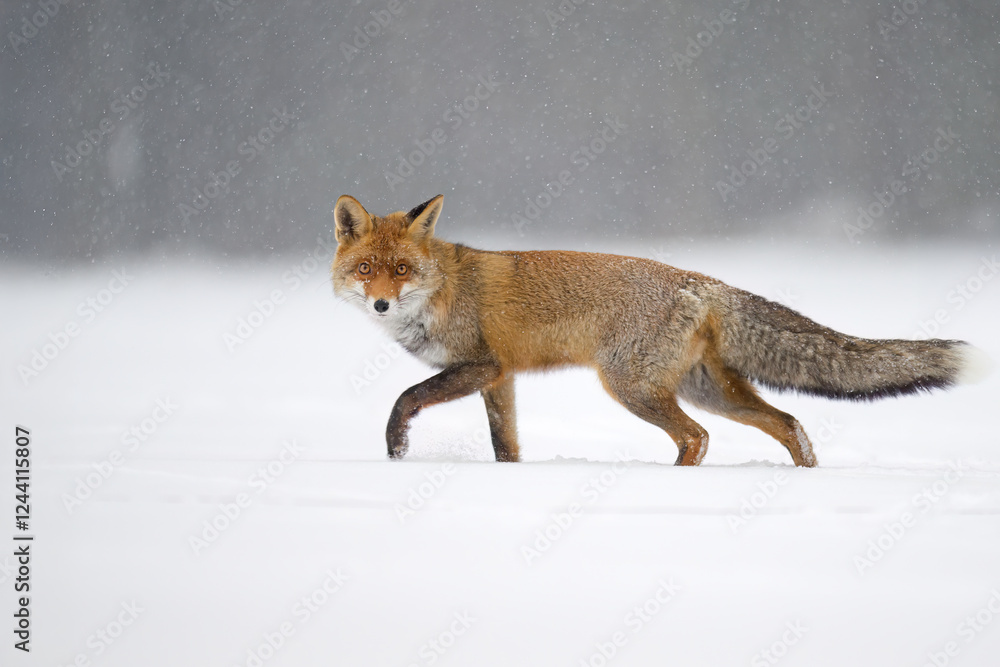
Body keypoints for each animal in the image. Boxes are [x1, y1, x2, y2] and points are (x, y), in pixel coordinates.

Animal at [331, 194, 987, 467]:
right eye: (366, 270)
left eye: (401, 270)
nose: (383, 304)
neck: (441, 289)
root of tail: (700, 280)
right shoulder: (500, 378)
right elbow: (506, 446)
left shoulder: (483, 365)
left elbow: (405, 398)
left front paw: (396, 450)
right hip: (710, 390)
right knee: (790, 424)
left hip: (633, 388)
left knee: (696, 438)